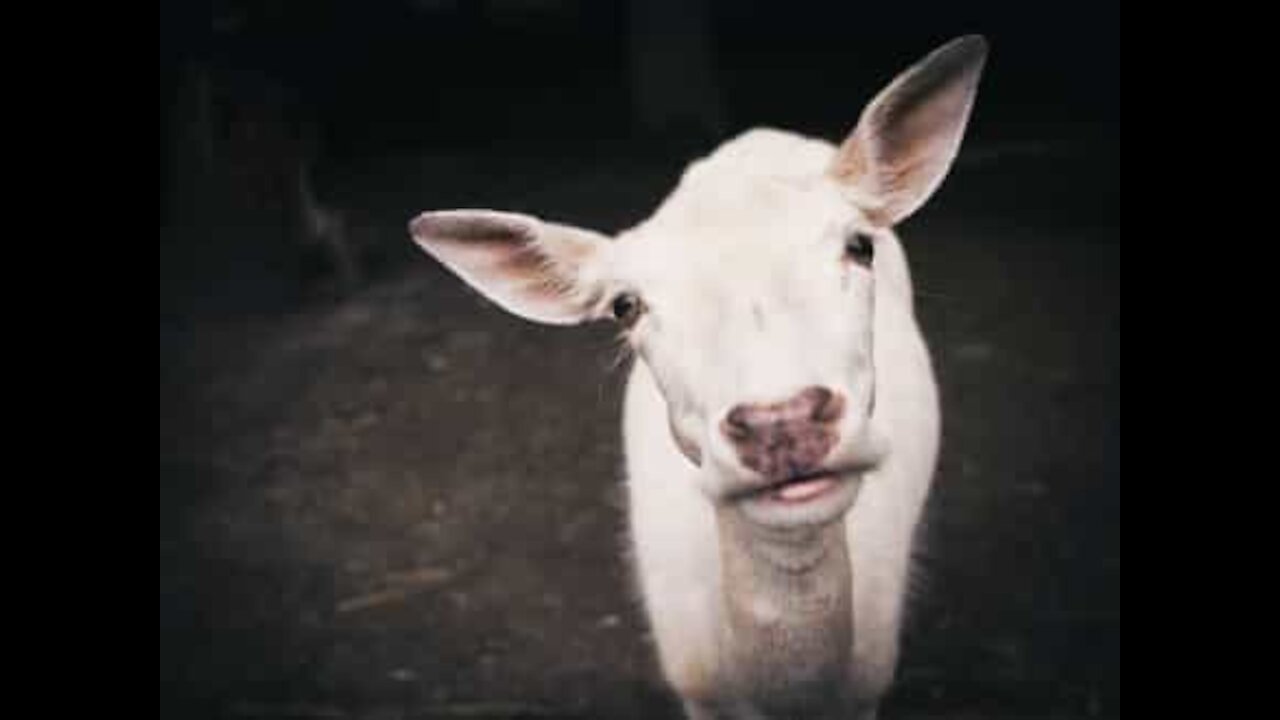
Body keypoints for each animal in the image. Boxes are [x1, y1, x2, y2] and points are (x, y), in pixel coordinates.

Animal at [409, 37, 988, 717]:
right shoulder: (693, 689)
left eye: (859, 246)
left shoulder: (869, 686)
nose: (783, 423)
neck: (784, 697)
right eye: (625, 305)